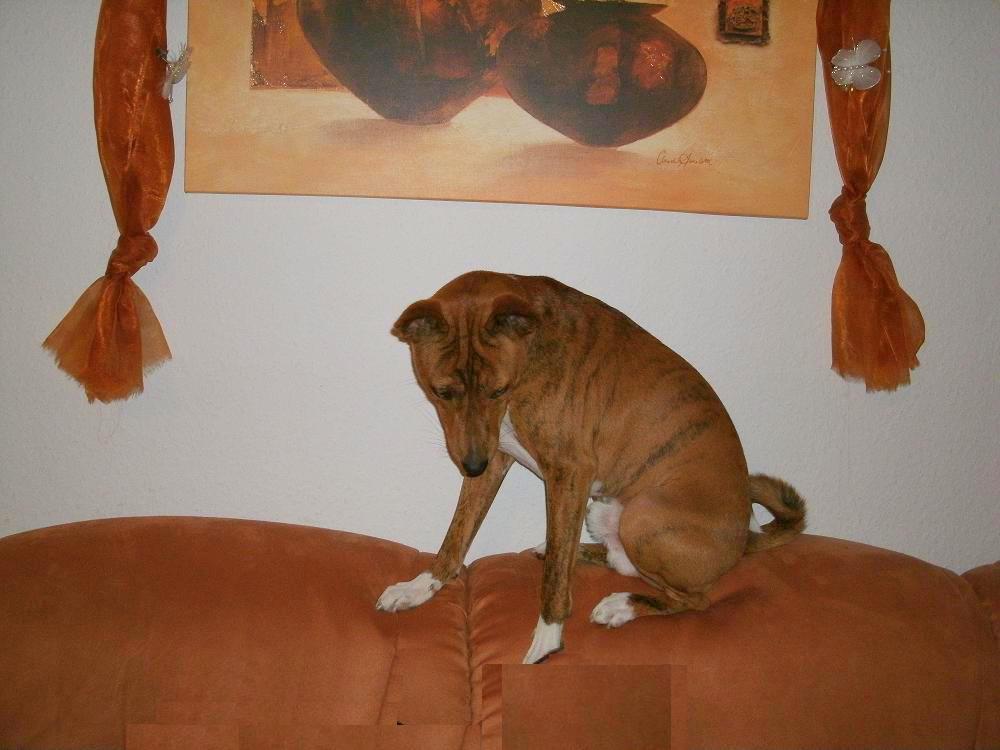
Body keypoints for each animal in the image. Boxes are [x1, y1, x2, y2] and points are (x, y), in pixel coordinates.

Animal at [377, 271, 805, 664]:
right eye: (442, 392)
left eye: (498, 390)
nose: (471, 466)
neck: (530, 351)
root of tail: (746, 541)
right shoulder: (495, 457)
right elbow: (457, 536)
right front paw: (421, 586)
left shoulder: (567, 473)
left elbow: (553, 582)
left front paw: (547, 639)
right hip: (602, 509)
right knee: (618, 560)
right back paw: (563, 551)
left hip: (641, 519)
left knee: (694, 599)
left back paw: (621, 605)